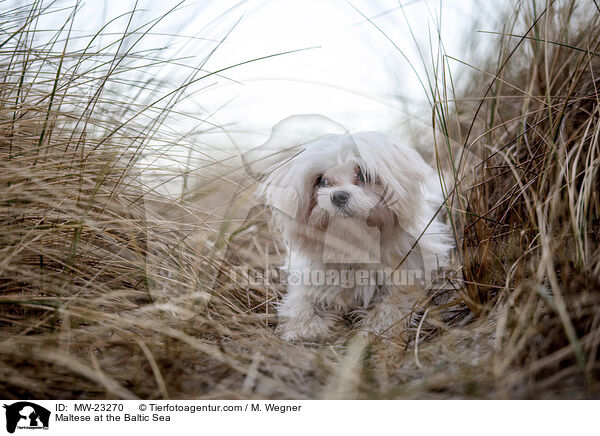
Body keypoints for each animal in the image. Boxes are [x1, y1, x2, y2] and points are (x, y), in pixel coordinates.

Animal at [260, 131, 452, 342]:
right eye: (321, 181)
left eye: (363, 175)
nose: (338, 196)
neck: (353, 244)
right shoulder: (310, 276)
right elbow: (300, 300)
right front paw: (302, 328)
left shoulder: (407, 273)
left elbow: (392, 303)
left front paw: (377, 329)